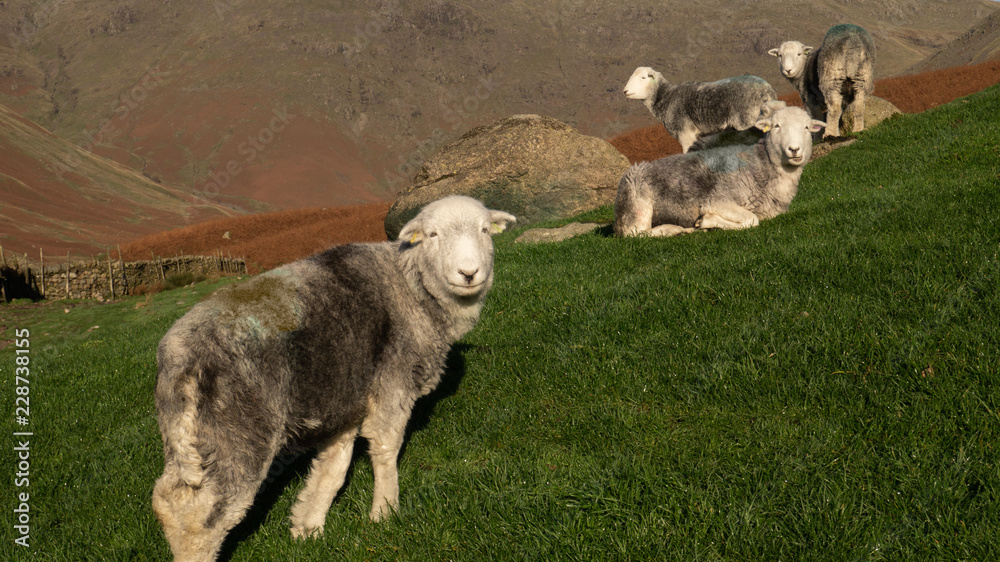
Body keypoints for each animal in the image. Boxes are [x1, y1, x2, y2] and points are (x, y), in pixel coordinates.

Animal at [151, 195, 516, 562]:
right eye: (432, 234)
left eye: (485, 230)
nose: (468, 273)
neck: (411, 287)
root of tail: (178, 357)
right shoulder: (392, 383)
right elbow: (386, 448)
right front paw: (385, 512)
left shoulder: (344, 401)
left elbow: (333, 468)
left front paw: (307, 527)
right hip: (236, 432)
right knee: (201, 516)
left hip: (191, 437)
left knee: (167, 498)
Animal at [614, 104, 825, 237]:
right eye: (776, 126)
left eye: (807, 127)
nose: (794, 149)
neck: (761, 165)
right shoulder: (718, 200)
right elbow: (752, 220)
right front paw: (707, 222)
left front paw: (706, 225)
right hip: (637, 205)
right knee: (636, 234)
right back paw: (671, 229)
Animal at [623, 66, 777, 153]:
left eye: (643, 77)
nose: (625, 91)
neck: (666, 97)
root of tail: (767, 90)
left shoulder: (686, 135)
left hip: (747, 121)